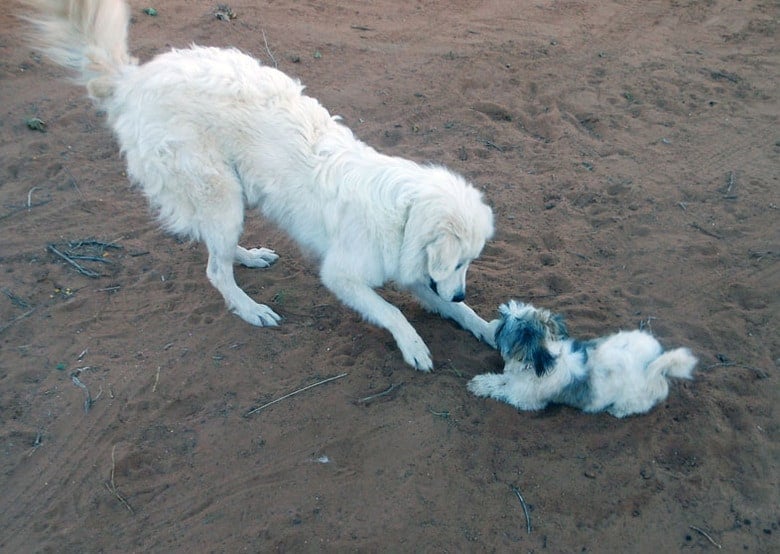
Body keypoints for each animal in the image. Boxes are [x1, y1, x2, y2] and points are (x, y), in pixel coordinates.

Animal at [29, 2, 500, 370]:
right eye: (460, 262)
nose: (462, 290)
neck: (403, 215)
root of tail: (133, 80)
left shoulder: (418, 273)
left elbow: (455, 310)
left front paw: (487, 327)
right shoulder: (342, 276)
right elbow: (392, 312)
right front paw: (414, 345)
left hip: (227, 198)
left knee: (215, 247)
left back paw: (249, 256)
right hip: (221, 194)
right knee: (215, 269)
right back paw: (250, 309)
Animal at [466, 302, 696, 414]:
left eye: (509, 322)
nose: (500, 314)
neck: (543, 360)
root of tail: (654, 367)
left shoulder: (523, 397)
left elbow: (502, 389)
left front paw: (479, 386)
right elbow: (499, 380)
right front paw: (481, 382)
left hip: (633, 400)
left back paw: (616, 411)